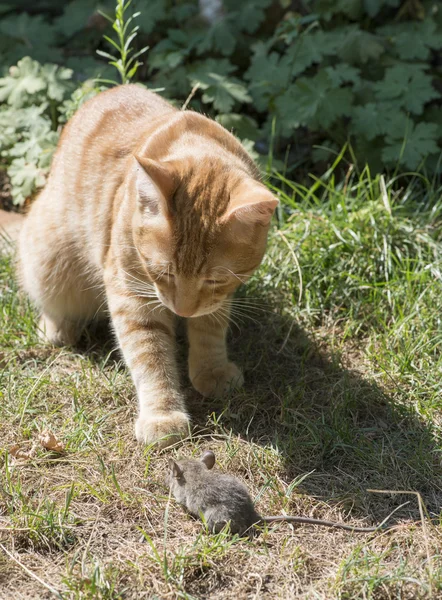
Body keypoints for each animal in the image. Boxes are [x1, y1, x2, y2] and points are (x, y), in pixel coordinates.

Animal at [19, 86, 280, 448]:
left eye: (213, 280)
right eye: (165, 271)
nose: (183, 310)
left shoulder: (219, 298)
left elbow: (210, 328)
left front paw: (211, 370)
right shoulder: (132, 294)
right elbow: (151, 355)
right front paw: (163, 415)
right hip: (49, 261)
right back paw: (59, 327)